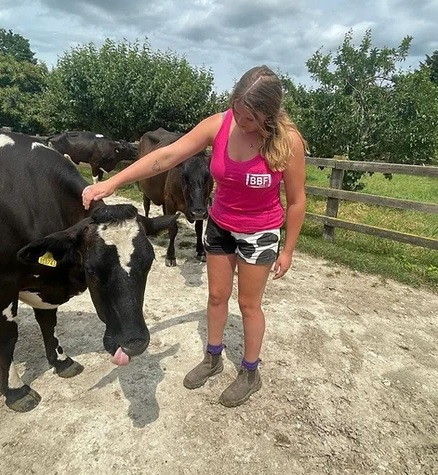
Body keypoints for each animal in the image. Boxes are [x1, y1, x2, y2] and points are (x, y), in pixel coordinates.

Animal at [0, 131, 178, 412]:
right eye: (92, 269)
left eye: (149, 263)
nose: (134, 343)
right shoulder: (5, 285)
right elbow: (8, 339)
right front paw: (17, 391)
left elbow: (48, 321)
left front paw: (62, 361)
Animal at [137, 128, 212, 266]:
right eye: (183, 175)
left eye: (208, 176)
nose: (197, 212)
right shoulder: (170, 201)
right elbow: (173, 229)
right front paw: (170, 256)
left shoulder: (203, 204)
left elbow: (199, 229)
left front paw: (201, 252)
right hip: (146, 192)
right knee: (146, 207)